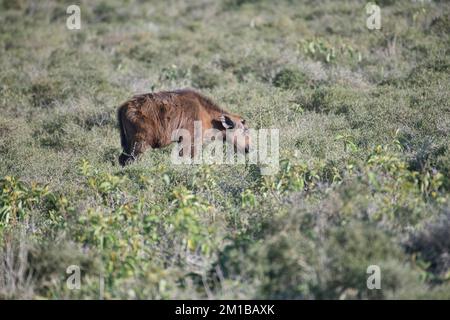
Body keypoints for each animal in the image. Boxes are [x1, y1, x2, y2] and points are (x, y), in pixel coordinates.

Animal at [117, 89, 250, 166]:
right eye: (244, 130)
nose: (248, 148)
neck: (206, 113)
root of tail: (124, 106)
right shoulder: (190, 144)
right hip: (140, 144)